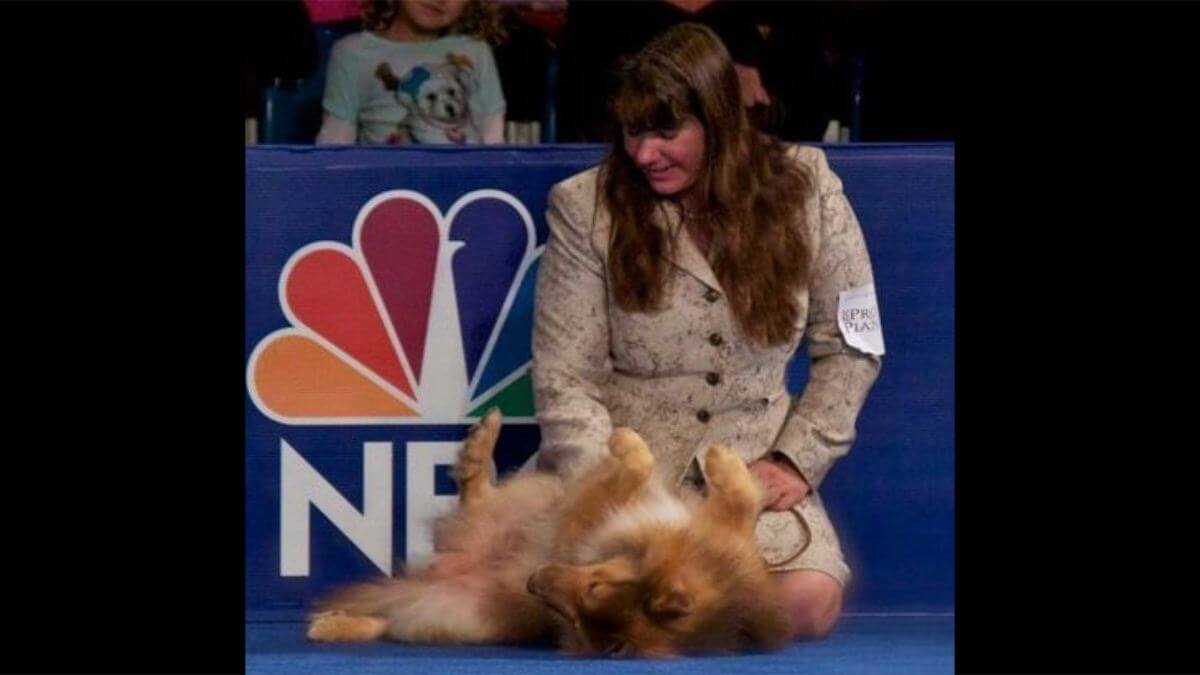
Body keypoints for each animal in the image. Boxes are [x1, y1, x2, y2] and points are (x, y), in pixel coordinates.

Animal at [304, 408, 792, 653]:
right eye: (595, 586)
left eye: (588, 600)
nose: (534, 580)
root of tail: (452, 567)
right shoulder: (720, 528)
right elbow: (739, 497)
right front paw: (723, 460)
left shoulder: (577, 522)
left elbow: (638, 463)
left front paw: (626, 442)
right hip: (534, 495)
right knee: (474, 492)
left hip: (455, 616)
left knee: (390, 620)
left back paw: (334, 625)